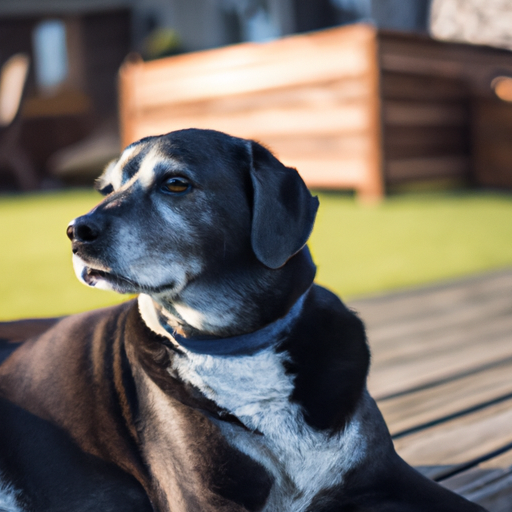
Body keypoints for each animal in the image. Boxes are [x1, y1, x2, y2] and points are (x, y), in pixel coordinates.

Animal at [0, 130, 486, 512]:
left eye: (175, 183)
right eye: (106, 190)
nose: (75, 231)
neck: (240, 345)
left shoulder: (387, 474)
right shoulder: (203, 500)